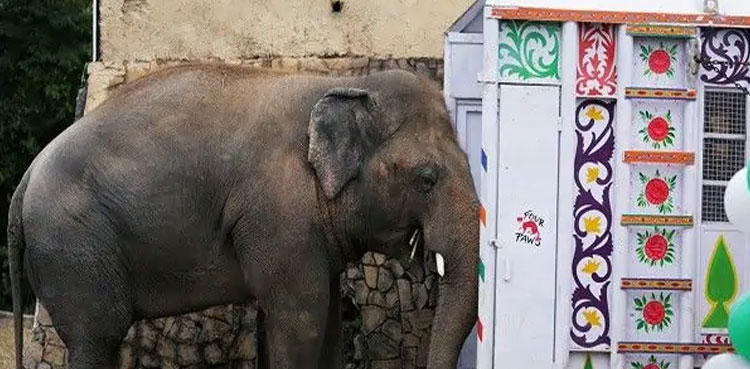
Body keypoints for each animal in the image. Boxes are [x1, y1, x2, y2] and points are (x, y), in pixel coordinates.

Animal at [7, 65, 482, 368]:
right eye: (426, 179)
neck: (346, 84)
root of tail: (26, 177)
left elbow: (323, 319)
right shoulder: (279, 212)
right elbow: (301, 319)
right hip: (74, 246)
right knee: (96, 336)